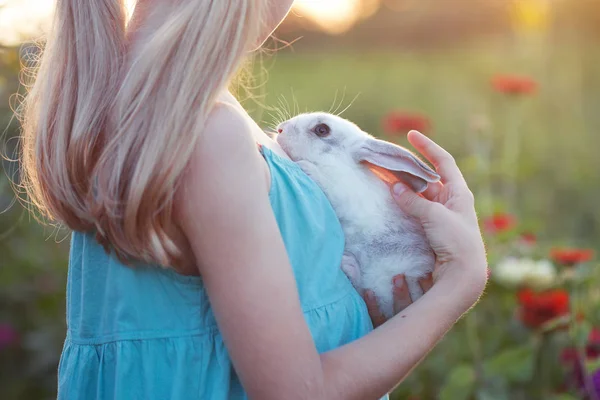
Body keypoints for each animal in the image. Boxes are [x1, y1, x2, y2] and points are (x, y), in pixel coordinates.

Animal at [276, 112, 440, 318]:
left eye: (322, 130)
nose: (281, 129)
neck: (338, 163)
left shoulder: (345, 194)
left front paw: (306, 167)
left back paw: (347, 264)